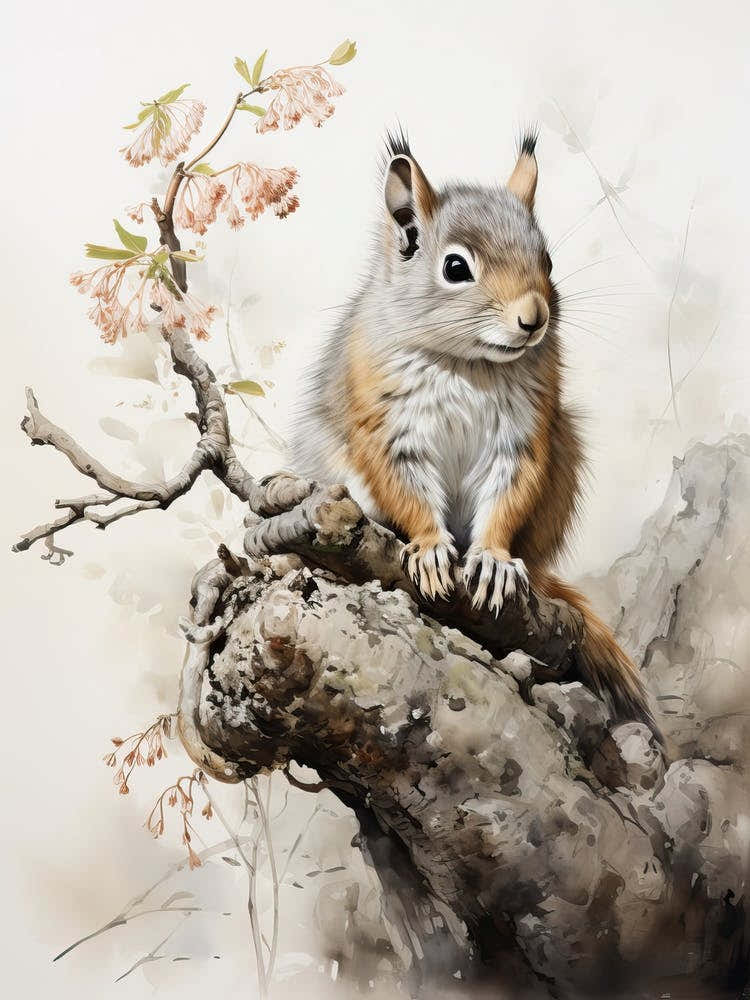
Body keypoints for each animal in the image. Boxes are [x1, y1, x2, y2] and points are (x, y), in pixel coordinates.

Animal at [291, 128, 656, 732]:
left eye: (547, 258)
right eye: (456, 268)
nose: (534, 318)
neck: (470, 363)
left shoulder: (523, 437)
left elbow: (508, 496)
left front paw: (491, 559)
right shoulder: (386, 428)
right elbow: (406, 488)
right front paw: (430, 548)